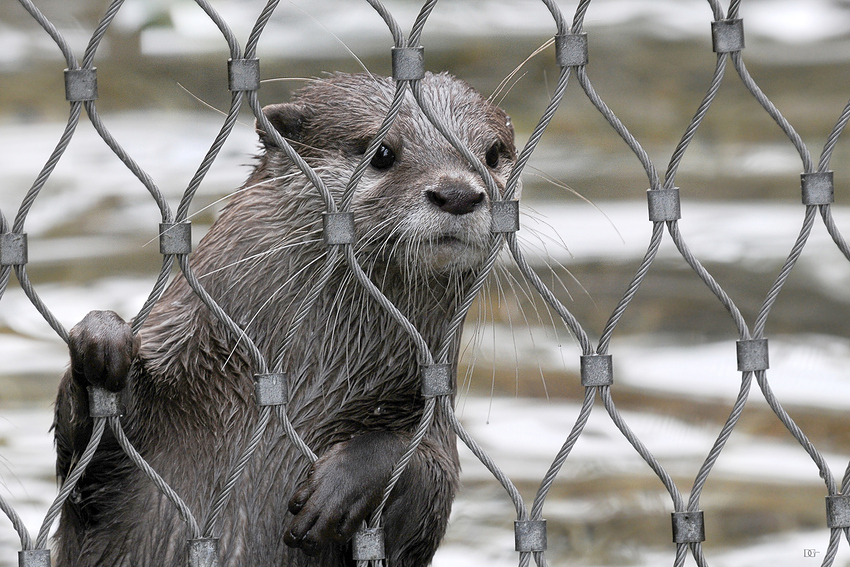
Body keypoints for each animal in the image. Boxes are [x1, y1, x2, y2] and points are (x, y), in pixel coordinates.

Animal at [54, 73, 516, 564]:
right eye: (382, 153)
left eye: (492, 154)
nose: (459, 193)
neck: (303, 383)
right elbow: (79, 448)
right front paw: (103, 339)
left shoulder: (430, 420)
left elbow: (431, 479)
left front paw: (340, 486)